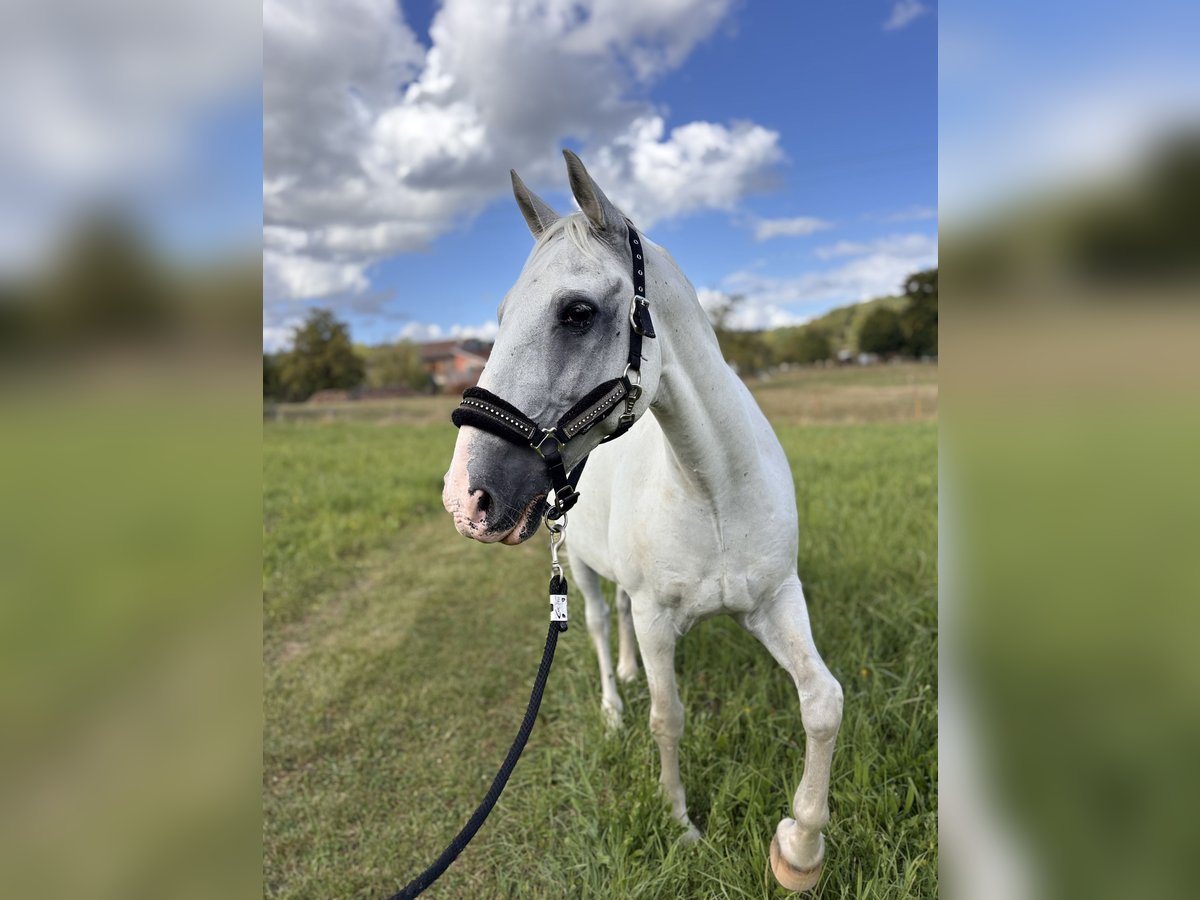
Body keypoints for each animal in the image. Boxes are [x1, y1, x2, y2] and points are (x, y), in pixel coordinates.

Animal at [442, 150, 843, 892]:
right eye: (502, 314)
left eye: (576, 312)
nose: (466, 498)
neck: (714, 490)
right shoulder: (662, 623)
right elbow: (667, 719)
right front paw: (680, 824)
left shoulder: (777, 599)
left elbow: (822, 702)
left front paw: (799, 851)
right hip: (577, 571)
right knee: (603, 625)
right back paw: (611, 705)